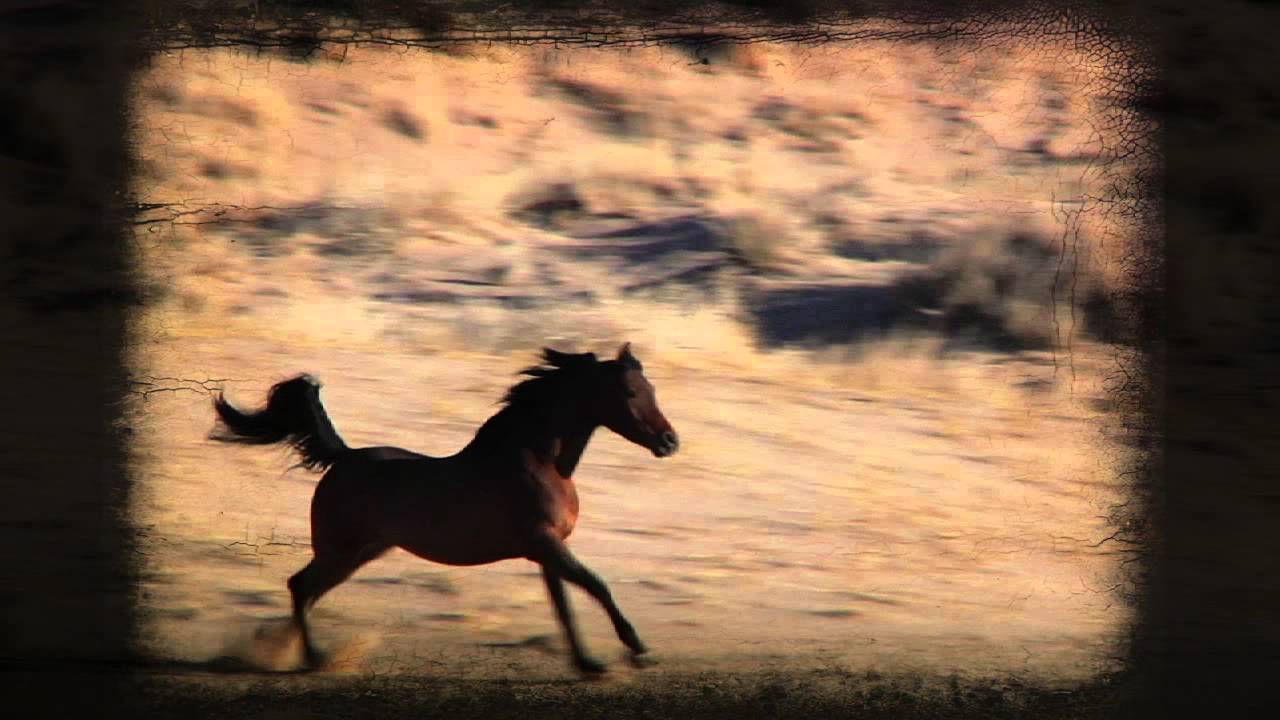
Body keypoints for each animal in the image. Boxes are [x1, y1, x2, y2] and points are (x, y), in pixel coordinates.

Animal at [209, 343, 680, 675]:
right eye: (630, 392)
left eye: (654, 389)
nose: (670, 442)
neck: (539, 461)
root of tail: (343, 457)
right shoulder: (545, 543)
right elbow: (597, 585)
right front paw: (637, 649)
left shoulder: (548, 552)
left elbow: (565, 608)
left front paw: (589, 664)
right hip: (341, 549)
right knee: (301, 587)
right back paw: (313, 658)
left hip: (360, 553)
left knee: (305, 590)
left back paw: (284, 647)